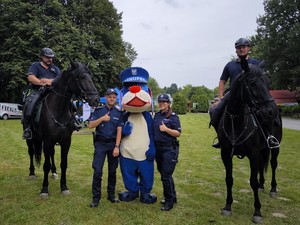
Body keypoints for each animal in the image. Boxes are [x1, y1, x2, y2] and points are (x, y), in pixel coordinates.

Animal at [25, 61, 98, 197]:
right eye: (81, 77)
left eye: (91, 76)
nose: (95, 99)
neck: (58, 110)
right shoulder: (47, 141)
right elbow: (45, 165)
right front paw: (44, 189)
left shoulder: (65, 141)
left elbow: (64, 164)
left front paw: (64, 187)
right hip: (31, 139)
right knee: (31, 152)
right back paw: (32, 173)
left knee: (52, 154)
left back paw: (54, 172)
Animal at [217, 58, 282, 223]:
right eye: (252, 83)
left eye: (267, 81)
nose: (272, 111)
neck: (236, 120)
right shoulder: (226, 154)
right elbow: (229, 179)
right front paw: (227, 206)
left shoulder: (253, 154)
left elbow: (252, 181)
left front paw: (257, 211)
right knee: (262, 166)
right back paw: (262, 186)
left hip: (274, 147)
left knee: (273, 164)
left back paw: (272, 188)